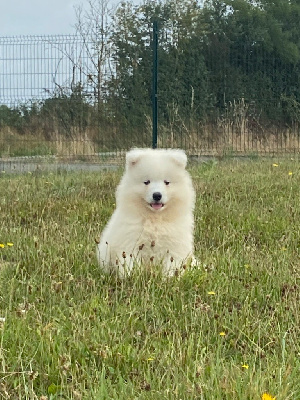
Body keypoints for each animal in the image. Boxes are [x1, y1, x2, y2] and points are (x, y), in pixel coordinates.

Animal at [97, 148, 196, 276]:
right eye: (146, 182)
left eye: (167, 182)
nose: (157, 195)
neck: (155, 219)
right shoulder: (130, 243)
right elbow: (130, 264)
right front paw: (131, 277)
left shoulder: (174, 246)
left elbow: (172, 265)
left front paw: (169, 278)